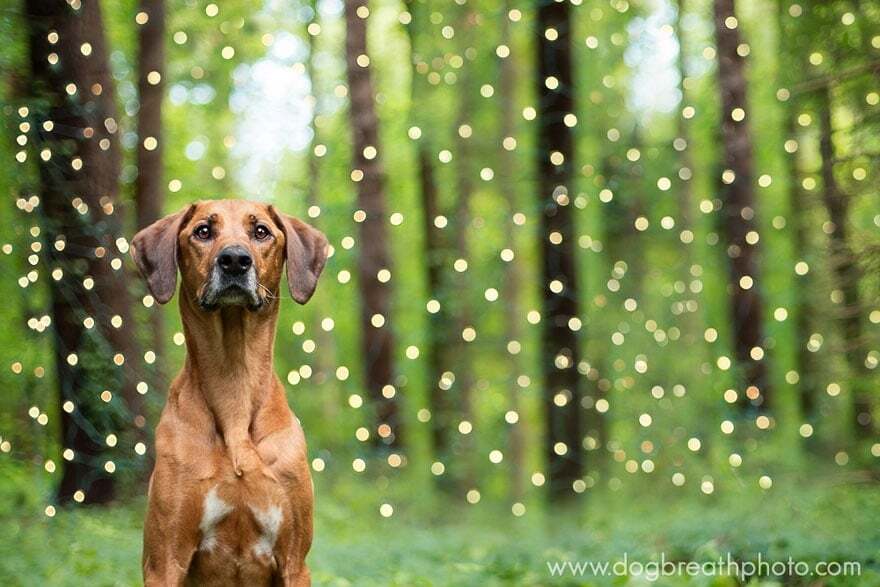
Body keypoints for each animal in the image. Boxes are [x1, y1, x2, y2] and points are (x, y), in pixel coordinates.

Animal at [129, 200, 324, 584]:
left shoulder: (295, 562)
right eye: (203, 231)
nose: (234, 259)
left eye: (261, 231)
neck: (234, 380)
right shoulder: (164, 561)